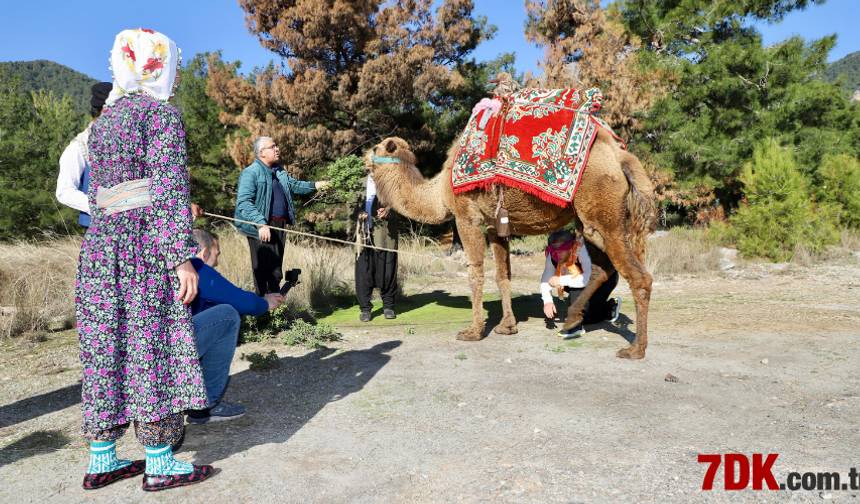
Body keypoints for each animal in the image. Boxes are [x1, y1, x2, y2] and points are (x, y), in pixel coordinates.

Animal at [364, 130, 660, 358]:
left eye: (375, 147)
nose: (363, 158)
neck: (438, 192)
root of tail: (621, 158)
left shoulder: (467, 217)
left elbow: (475, 275)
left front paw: (473, 332)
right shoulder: (495, 226)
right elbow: (503, 276)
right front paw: (507, 326)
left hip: (602, 213)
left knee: (638, 277)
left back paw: (635, 349)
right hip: (588, 221)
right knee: (600, 269)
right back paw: (573, 318)